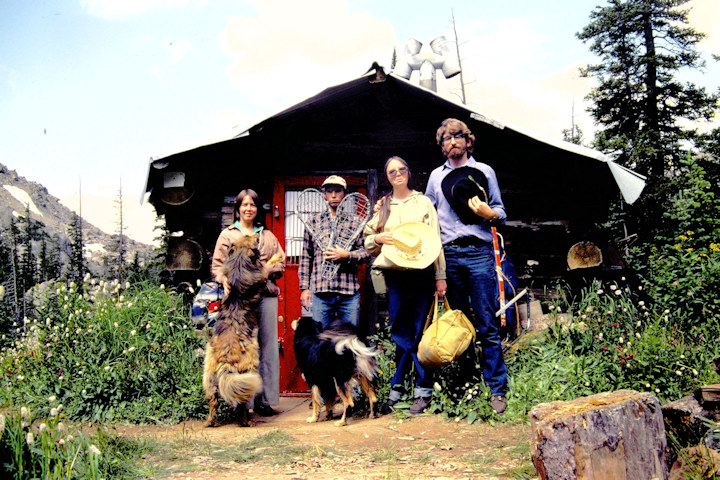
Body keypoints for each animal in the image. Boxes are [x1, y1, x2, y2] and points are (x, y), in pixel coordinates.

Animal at [204, 234, 282, 426]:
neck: (239, 262)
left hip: (210, 378)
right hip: (248, 373)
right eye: (250, 238)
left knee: (213, 401)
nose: (256, 234)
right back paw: (246, 421)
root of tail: (225, 360)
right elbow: (267, 266)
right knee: (241, 403)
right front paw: (276, 257)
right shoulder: (261, 277)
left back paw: (211, 422)